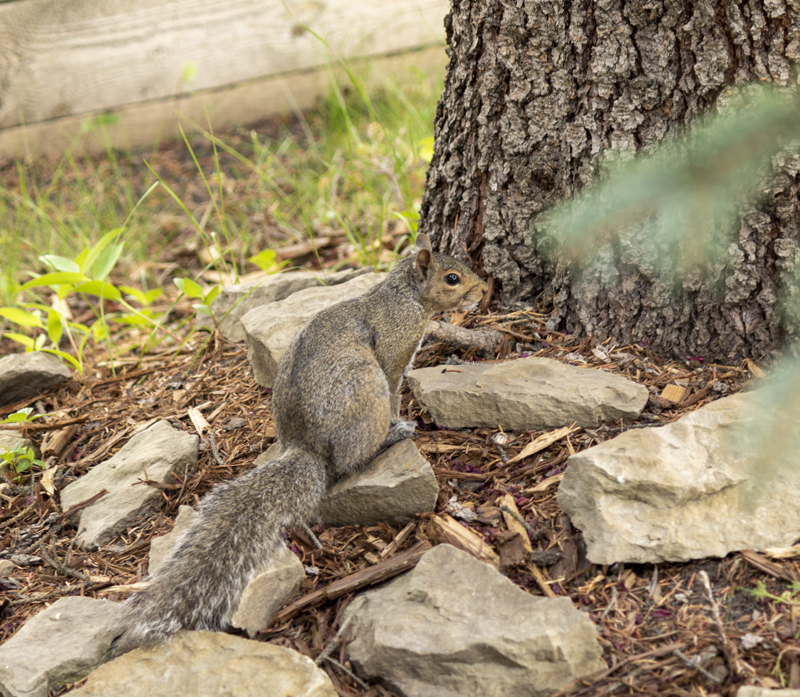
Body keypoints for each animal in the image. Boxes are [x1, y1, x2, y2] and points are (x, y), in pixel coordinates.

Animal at [112, 233, 487, 654]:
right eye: (453, 278)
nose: (484, 290)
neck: (404, 296)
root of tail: (308, 447)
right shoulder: (393, 358)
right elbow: (395, 393)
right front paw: (401, 419)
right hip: (365, 388)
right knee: (352, 459)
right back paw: (390, 437)